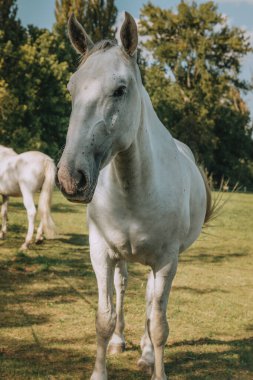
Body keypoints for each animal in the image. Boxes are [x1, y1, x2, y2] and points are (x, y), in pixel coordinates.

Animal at [56, 13, 212, 380]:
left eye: (120, 90)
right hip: (122, 258)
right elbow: (103, 317)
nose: (71, 178)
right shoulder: (100, 253)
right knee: (125, 286)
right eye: (71, 88)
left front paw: (156, 367)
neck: (135, 187)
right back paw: (120, 341)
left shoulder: (167, 261)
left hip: (161, 264)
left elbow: (158, 325)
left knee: (151, 300)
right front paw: (100, 369)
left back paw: (145, 353)